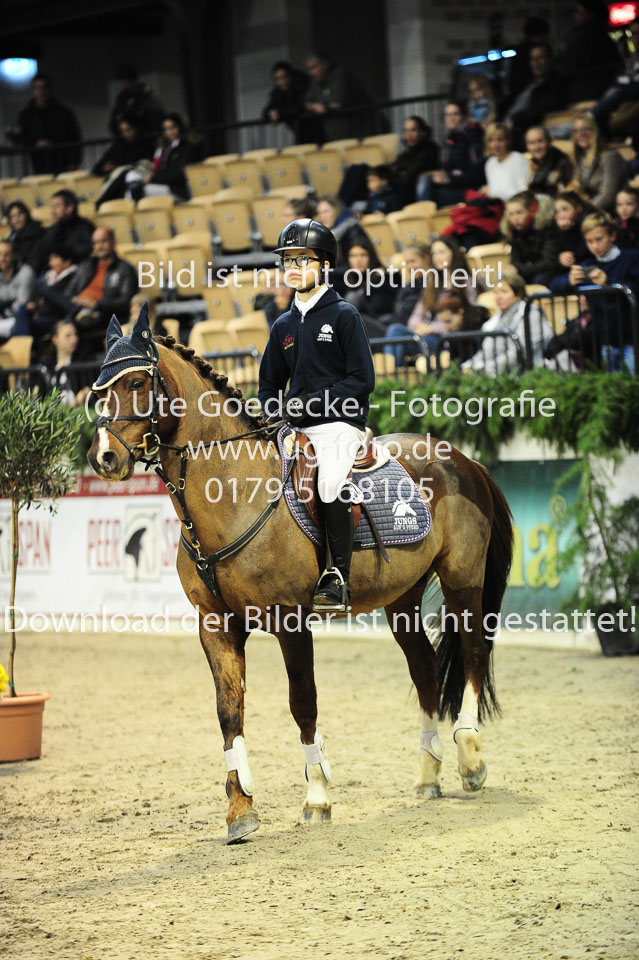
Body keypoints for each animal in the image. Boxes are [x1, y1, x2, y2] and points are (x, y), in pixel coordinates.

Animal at [88, 308, 513, 843]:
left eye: (139, 382)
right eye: (98, 389)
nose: (104, 457)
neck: (234, 493)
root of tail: (462, 458)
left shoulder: (290, 620)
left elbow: (302, 702)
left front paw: (317, 797)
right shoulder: (216, 626)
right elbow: (229, 710)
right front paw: (240, 810)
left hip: (462, 579)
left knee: (474, 654)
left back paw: (471, 760)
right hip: (401, 600)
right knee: (425, 671)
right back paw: (427, 778)